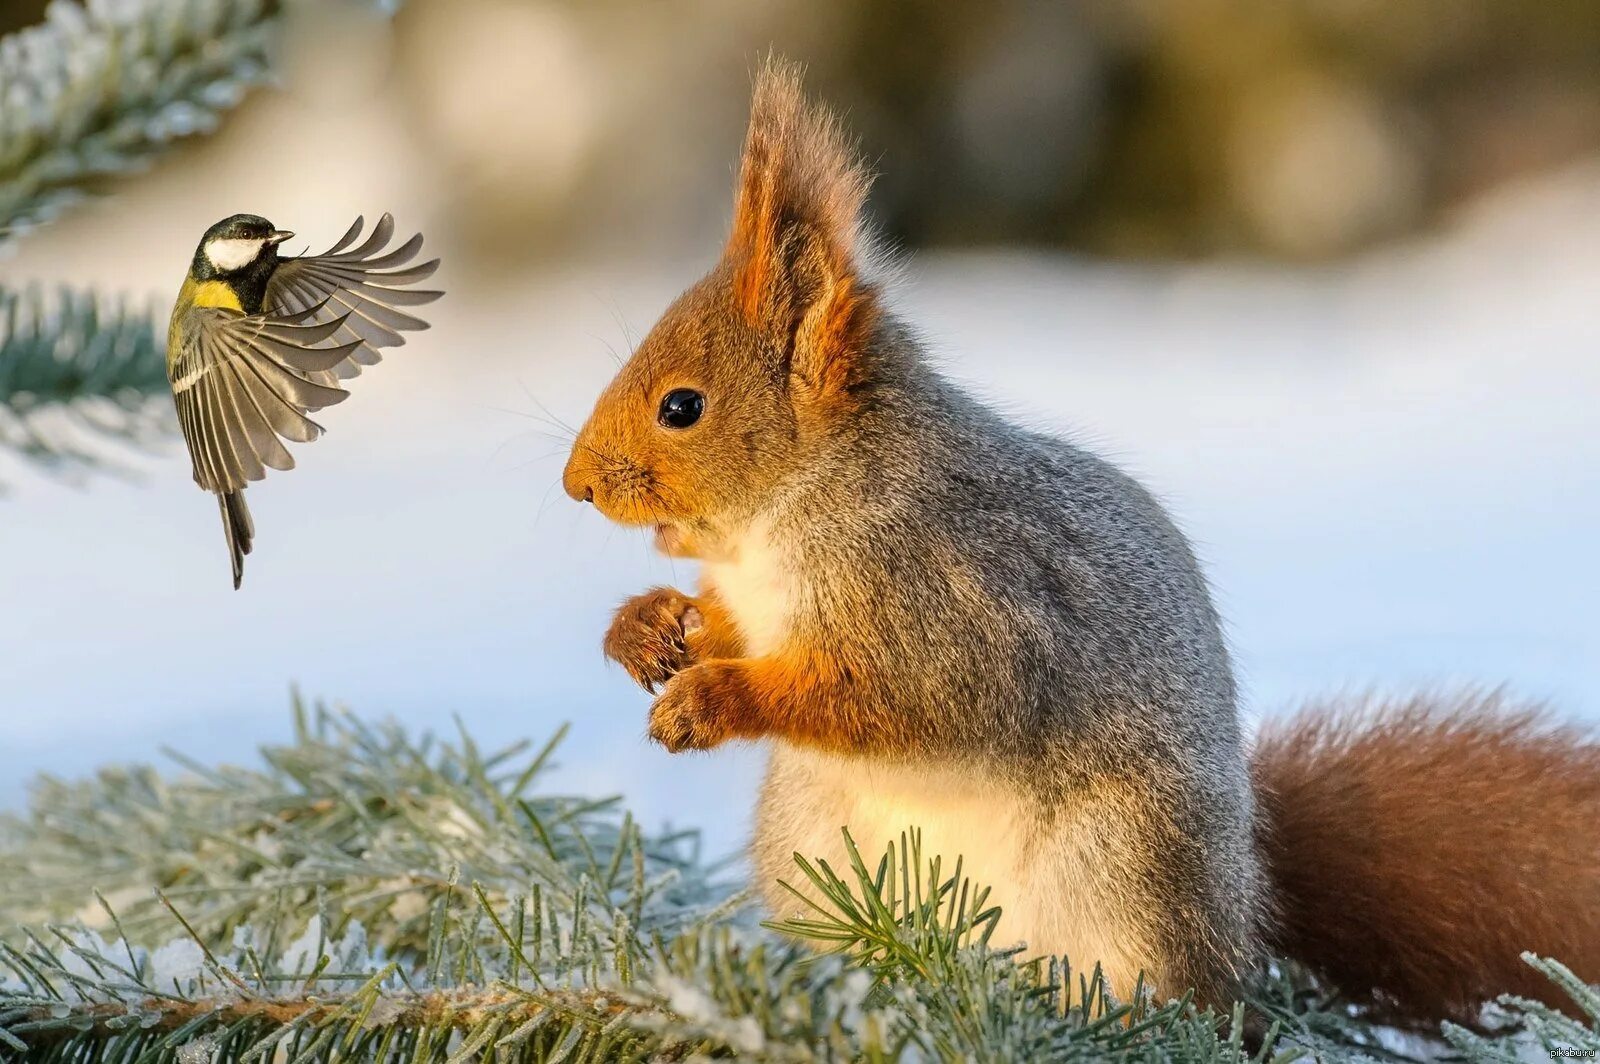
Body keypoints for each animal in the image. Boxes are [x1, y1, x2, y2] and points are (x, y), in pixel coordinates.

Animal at [563, 60, 1600, 1024]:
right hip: (815, 841)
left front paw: (711, 700)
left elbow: (892, 697)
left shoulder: (952, 600)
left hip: (1122, 870)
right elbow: (728, 627)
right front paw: (648, 627)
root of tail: (1247, 897)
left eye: (682, 407)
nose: (575, 485)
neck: (784, 522)